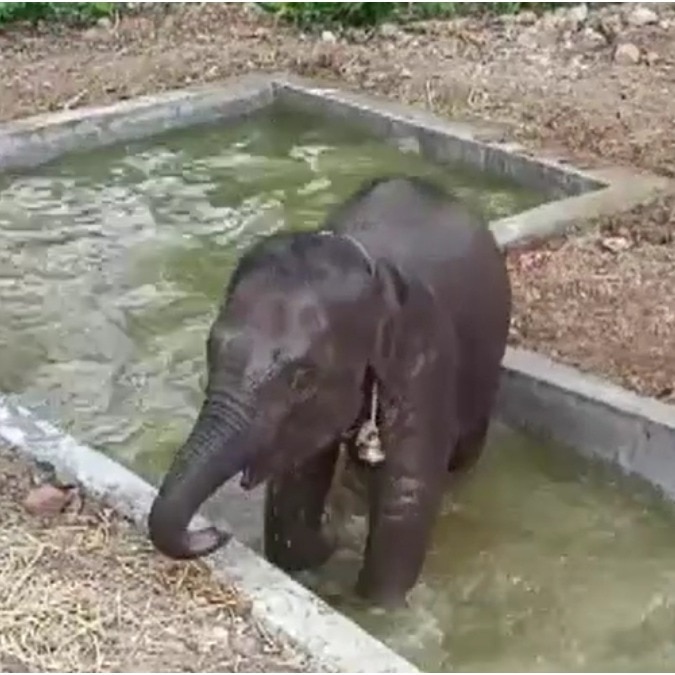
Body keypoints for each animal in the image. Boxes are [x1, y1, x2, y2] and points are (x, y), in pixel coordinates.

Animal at [148, 174, 512, 608]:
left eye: (302, 378)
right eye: (210, 347)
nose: (216, 533)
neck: (372, 270)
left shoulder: (426, 360)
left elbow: (405, 495)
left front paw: (377, 609)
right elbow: (298, 480)